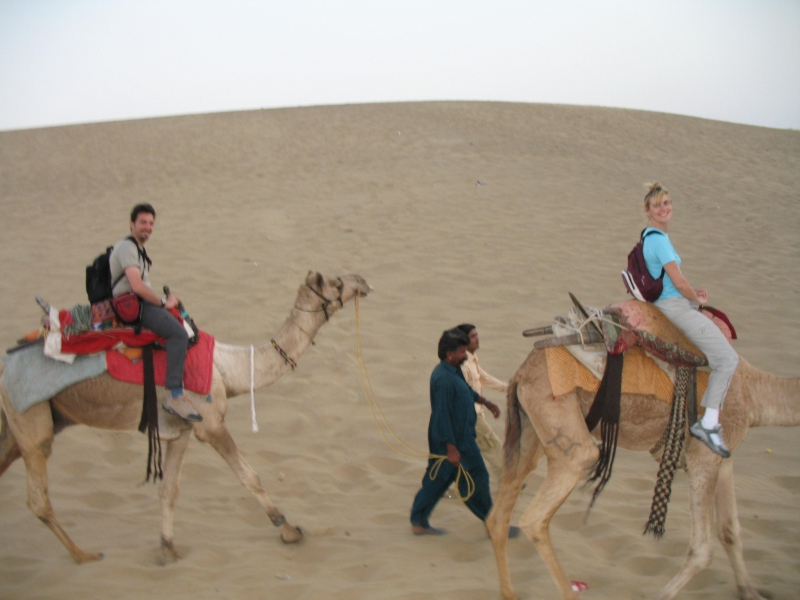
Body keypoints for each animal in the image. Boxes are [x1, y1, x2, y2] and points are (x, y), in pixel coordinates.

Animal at [0, 270, 370, 564]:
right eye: (337, 282)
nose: (363, 281)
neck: (227, 369)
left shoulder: (183, 430)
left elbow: (169, 490)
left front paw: (167, 549)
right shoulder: (211, 424)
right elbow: (250, 476)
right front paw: (290, 530)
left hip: (21, 427)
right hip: (30, 420)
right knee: (39, 499)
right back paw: (84, 555)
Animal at [488, 342, 800, 600]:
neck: (755, 394)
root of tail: (521, 374)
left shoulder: (725, 457)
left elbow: (731, 531)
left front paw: (750, 592)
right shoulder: (702, 457)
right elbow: (701, 551)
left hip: (530, 431)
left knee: (499, 514)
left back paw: (510, 593)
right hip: (567, 439)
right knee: (535, 518)